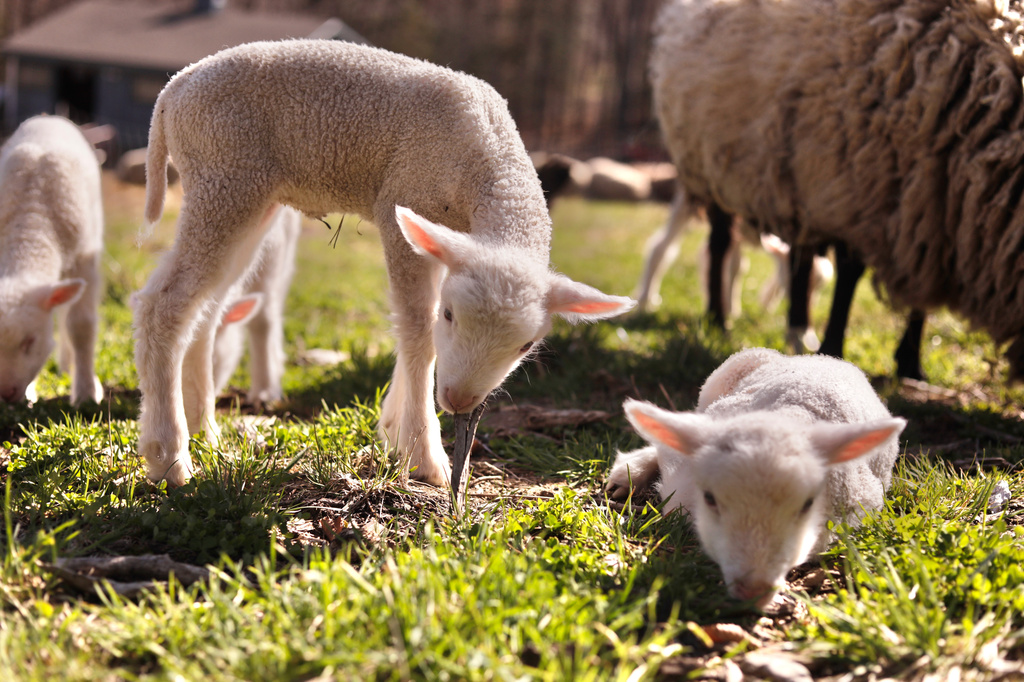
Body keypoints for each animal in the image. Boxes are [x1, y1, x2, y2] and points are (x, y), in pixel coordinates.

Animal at [0, 115, 104, 406]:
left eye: (30, 341)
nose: (6, 394)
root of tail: (50, 117)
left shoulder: (84, 259)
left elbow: (81, 326)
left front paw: (86, 393)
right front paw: (30, 393)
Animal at [649, 0, 1024, 381]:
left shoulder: (927, 206)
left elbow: (920, 294)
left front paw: (910, 364)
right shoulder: (856, 192)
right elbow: (848, 275)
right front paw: (834, 349)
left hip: (797, 182)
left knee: (798, 261)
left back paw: (798, 331)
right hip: (714, 169)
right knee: (720, 244)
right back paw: (718, 320)